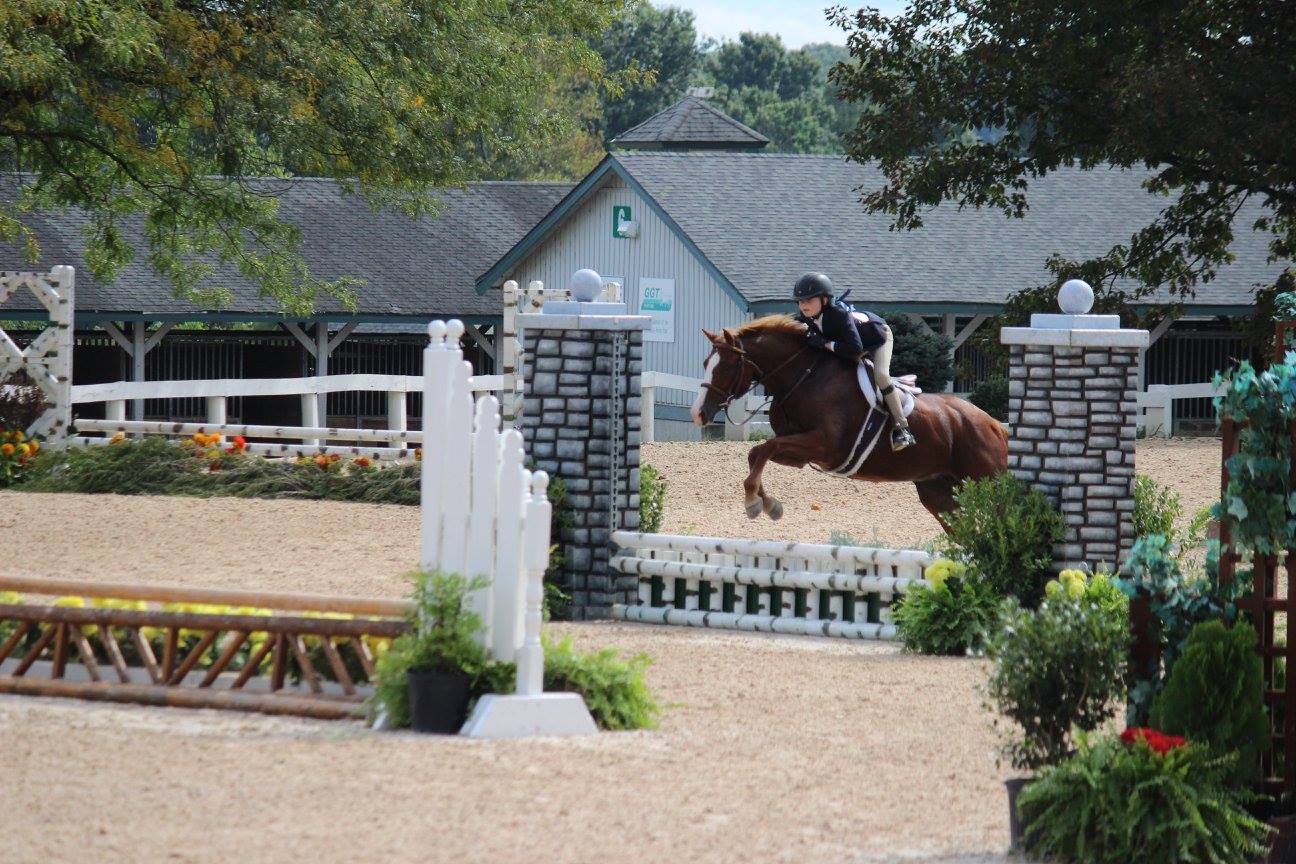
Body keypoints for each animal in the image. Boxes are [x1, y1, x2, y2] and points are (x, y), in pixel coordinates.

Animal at [694, 316, 1005, 528]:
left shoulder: (825, 446)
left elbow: (764, 449)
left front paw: (754, 503)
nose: (698, 414)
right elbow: (757, 452)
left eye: (726, 367)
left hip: (987, 479)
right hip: (939, 492)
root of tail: (994, 424)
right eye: (705, 363)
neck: (804, 377)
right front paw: (768, 504)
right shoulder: (800, 452)